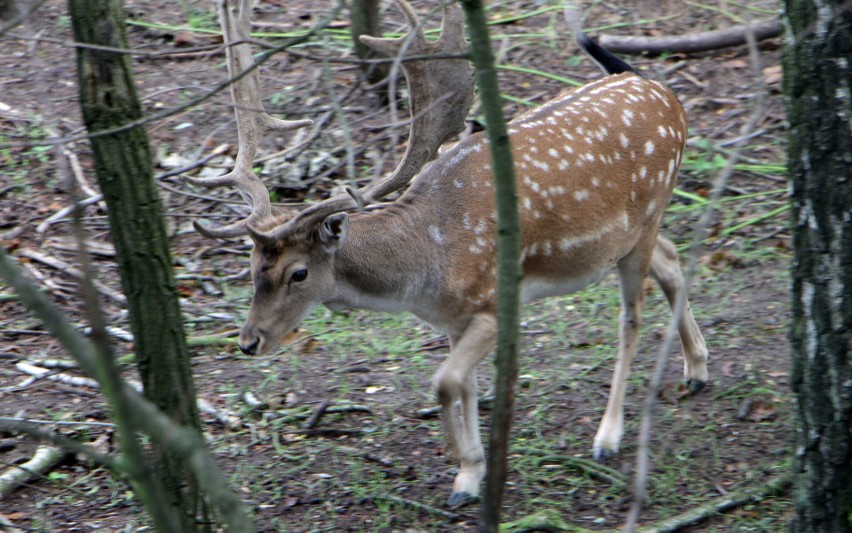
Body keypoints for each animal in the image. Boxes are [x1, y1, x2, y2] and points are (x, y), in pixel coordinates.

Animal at [188, 0, 712, 508]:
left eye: (298, 273)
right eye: (251, 268)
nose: (248, 342)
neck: (427, 273)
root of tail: (658, 88)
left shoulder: (495, 305)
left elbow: (445, 382)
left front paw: (466, 466)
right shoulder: (453, 321)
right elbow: (465, 385)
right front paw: (470, 475)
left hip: (646, 215)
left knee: (632, 316)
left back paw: (609, 435)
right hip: (635, 233)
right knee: (670, 257)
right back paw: (697, 369)